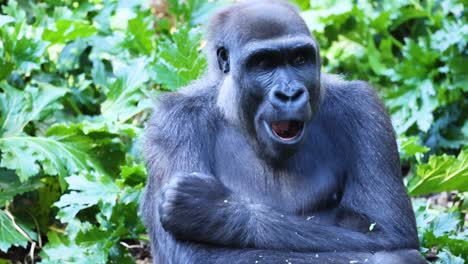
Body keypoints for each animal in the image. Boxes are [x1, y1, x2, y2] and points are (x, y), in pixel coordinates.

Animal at [141, 1, 426, 262]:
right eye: (263, 63)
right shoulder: (174, 123)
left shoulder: (364, 108)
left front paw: (218, 211)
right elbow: (195, 253)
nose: (290, 93)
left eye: (300, 59)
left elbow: (387, 232)